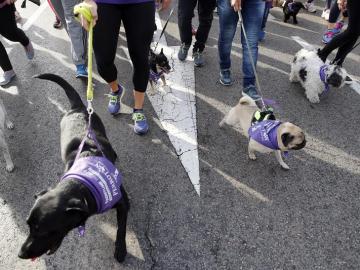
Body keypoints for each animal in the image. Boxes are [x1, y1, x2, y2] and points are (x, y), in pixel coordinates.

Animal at [18, 74, 130, 264]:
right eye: (29, 226)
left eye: (43, 231)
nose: (21, 254)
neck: (82, 184)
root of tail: (77, 107)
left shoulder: (123, 202)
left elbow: (121, 228)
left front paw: (121, 248)